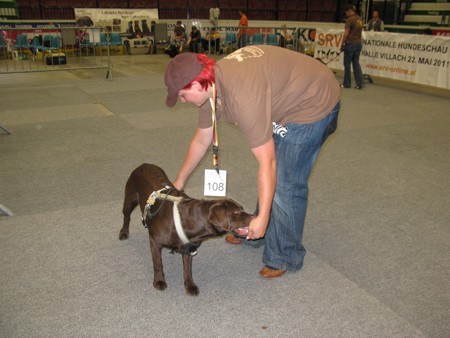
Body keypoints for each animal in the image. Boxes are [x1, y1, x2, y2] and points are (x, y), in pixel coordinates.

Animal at [118, 164, 253, 296]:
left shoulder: (189, 248)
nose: (254, 217)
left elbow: (187, 269)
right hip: (130, 198)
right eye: (236, 212)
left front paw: (190, 285)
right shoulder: (155, 241)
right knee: (126, 216)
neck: (193, 223)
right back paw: (124, 232)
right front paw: (159, 281)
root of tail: (143, 164)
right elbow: (158, 264)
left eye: (242, 208)